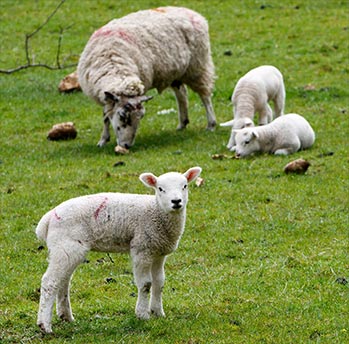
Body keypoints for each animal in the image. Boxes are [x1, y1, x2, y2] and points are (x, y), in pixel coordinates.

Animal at [35, 167, 201, 334]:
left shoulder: (158, 251)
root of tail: (49, 218)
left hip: (68, 249)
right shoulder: (142, 248)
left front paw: (158, 313)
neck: (156, 211)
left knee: (63, 280)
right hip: (65, 245)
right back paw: (45, 325)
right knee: (50, 281)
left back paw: (66, 316)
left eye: (185, 186)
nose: (176, 201)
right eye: (160, 188)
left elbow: (159, 282)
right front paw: (142, 314)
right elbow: (146, 284)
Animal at [77, 6, 216, 149]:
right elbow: (105, 117)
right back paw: (182, 123)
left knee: (205, 96)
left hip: (198, 66)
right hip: (177, 72)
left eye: (141, 117)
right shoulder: (106, 98)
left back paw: (211, 124)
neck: (114, 63)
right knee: (182, 93)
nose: (126, 145)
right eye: (122, 115)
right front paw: (103, 140)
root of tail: (193, 13)